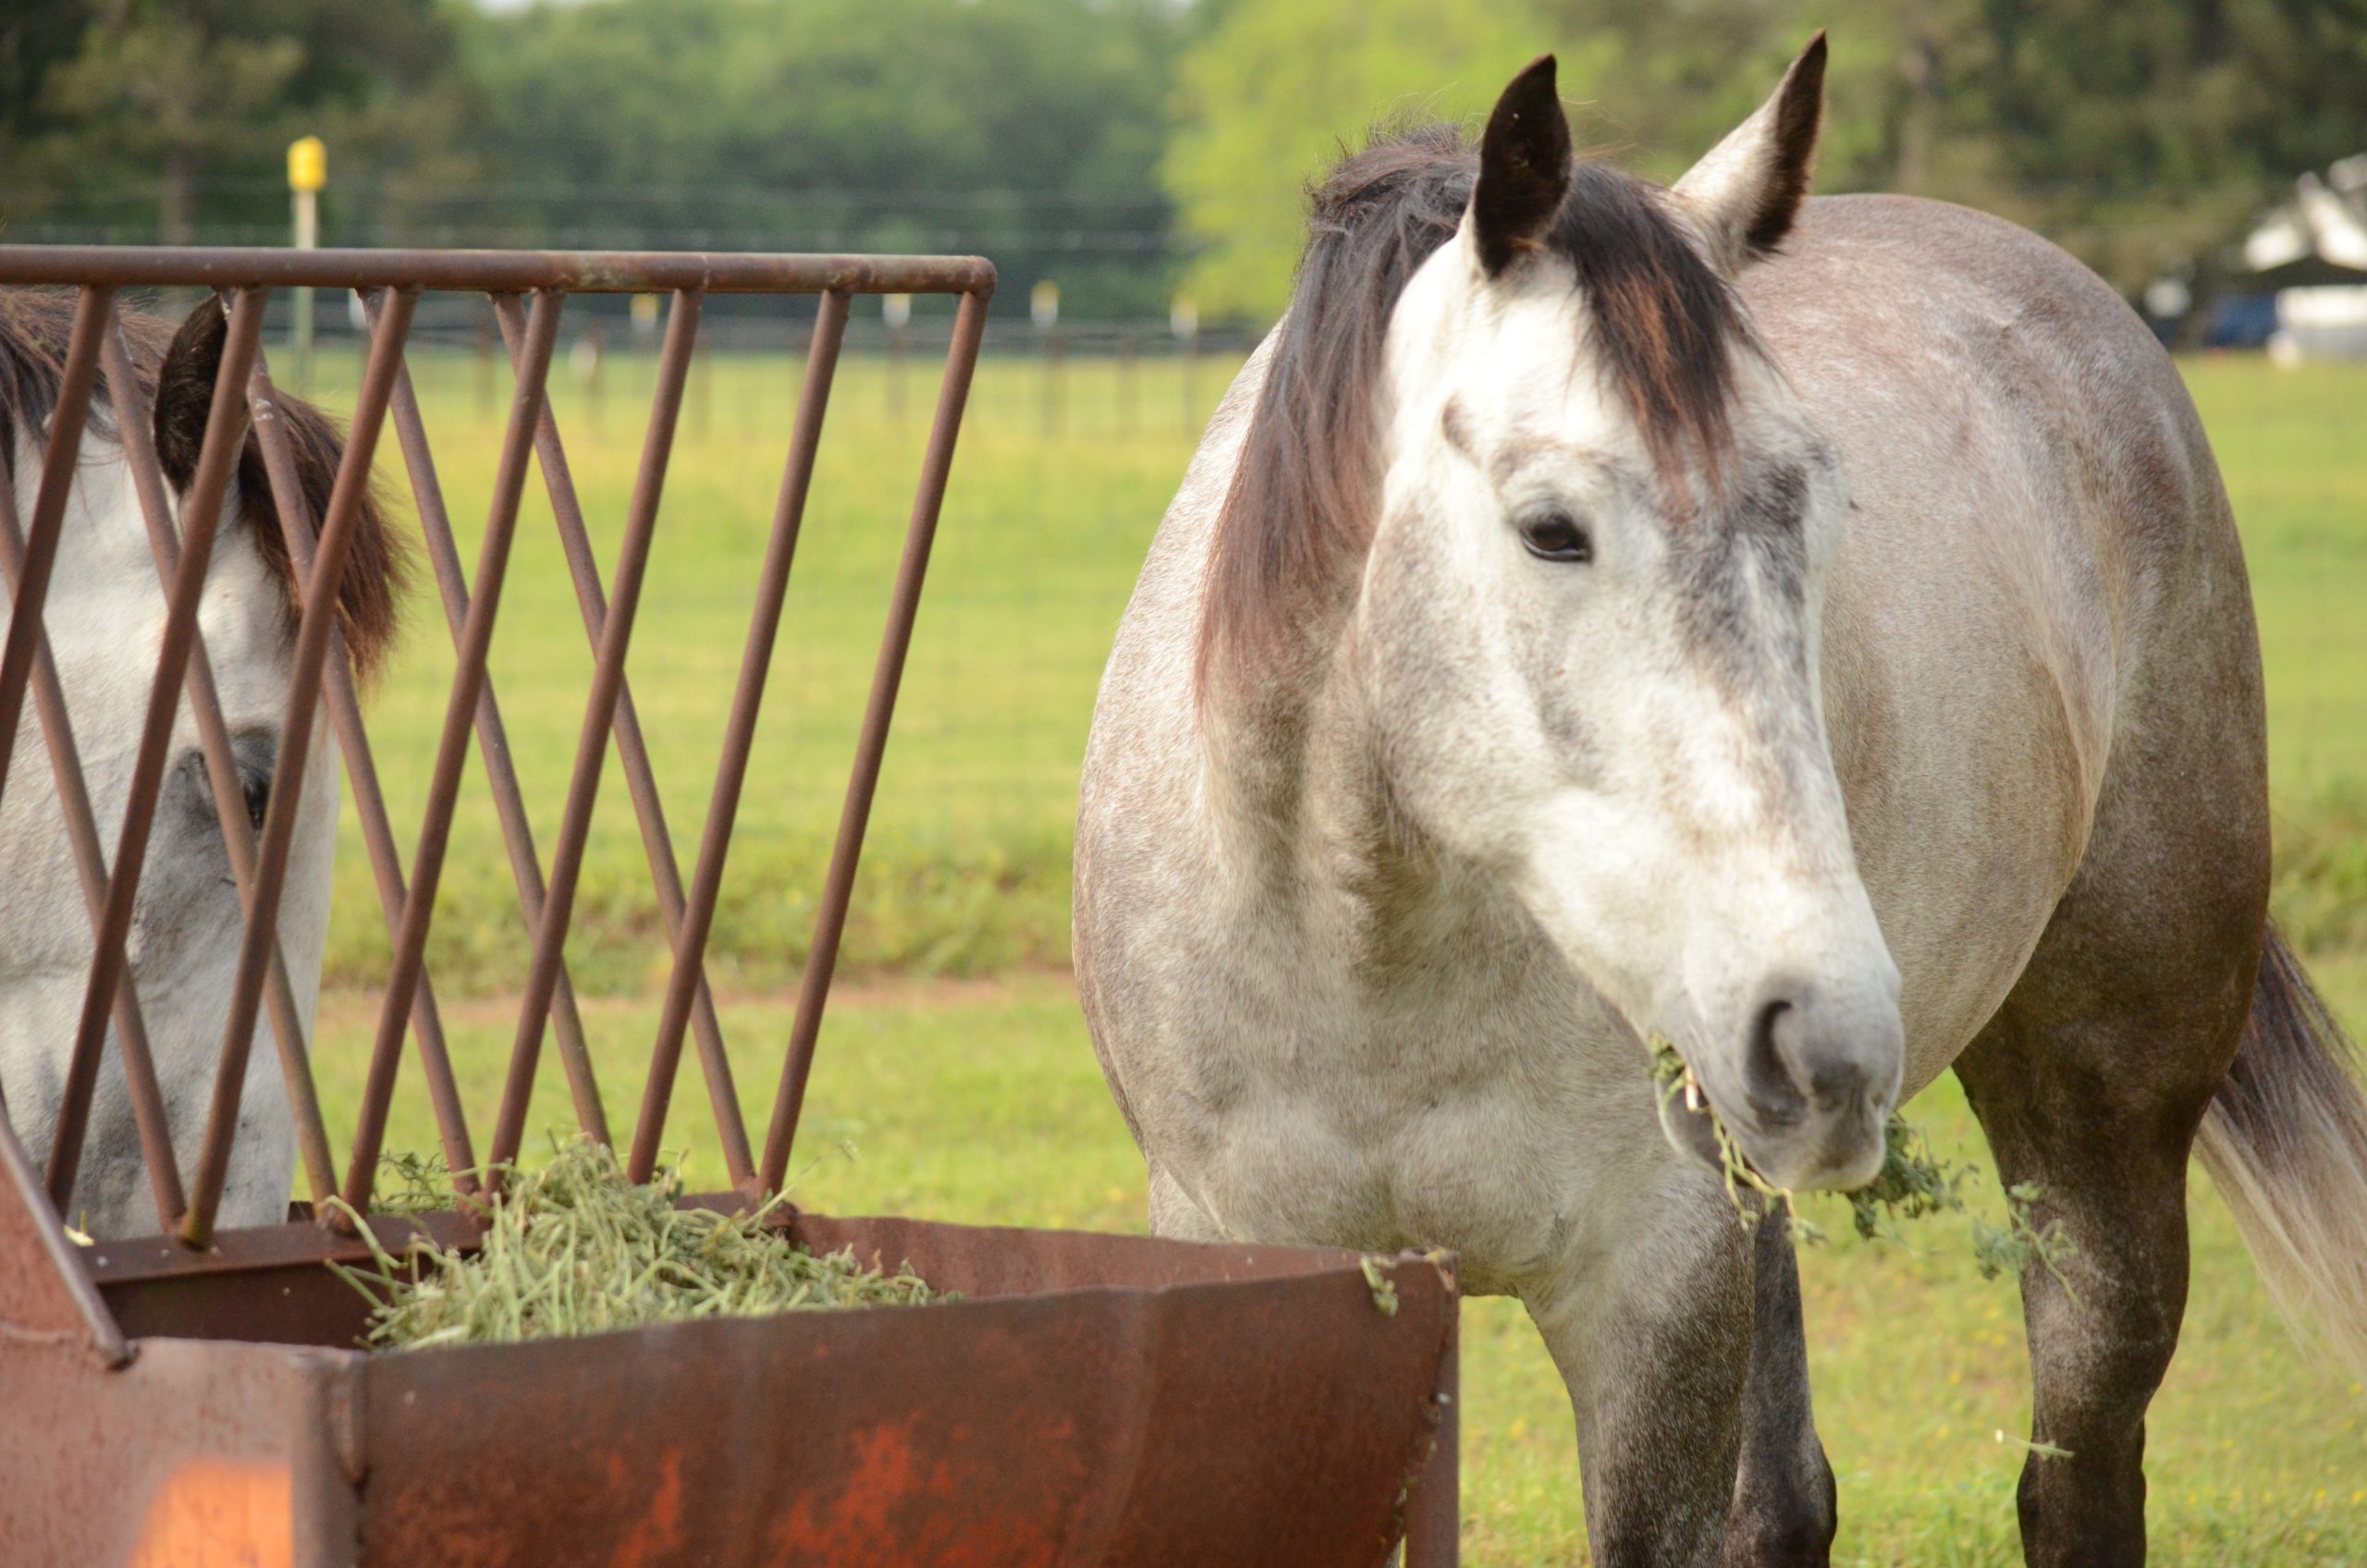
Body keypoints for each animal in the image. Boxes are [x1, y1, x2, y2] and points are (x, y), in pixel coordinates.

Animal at [1075, 37, 2367, 1565]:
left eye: (1816, 514)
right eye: (1552, 529)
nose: (1824, 1024)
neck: (1352, 940)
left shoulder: (1655, 1294)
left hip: (2101, 1111)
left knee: (2077, 1467)